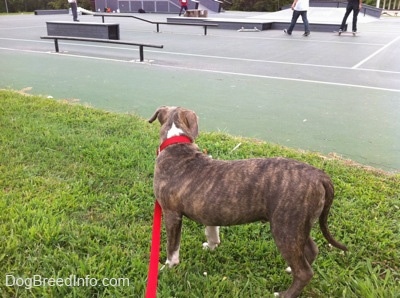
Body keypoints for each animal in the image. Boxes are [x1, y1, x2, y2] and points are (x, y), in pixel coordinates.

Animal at [148, 106, 346, 296]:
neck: (177, 143)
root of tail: (319, 175)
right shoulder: (208, 210)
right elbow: (211, 231)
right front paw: (211, 246)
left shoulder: (172, 214)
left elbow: (172, 247)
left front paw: (168, 267)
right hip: (298, 226)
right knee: (311, 250)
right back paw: (290, 269)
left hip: (285, 229)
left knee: (304, 272)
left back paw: (284, 294)